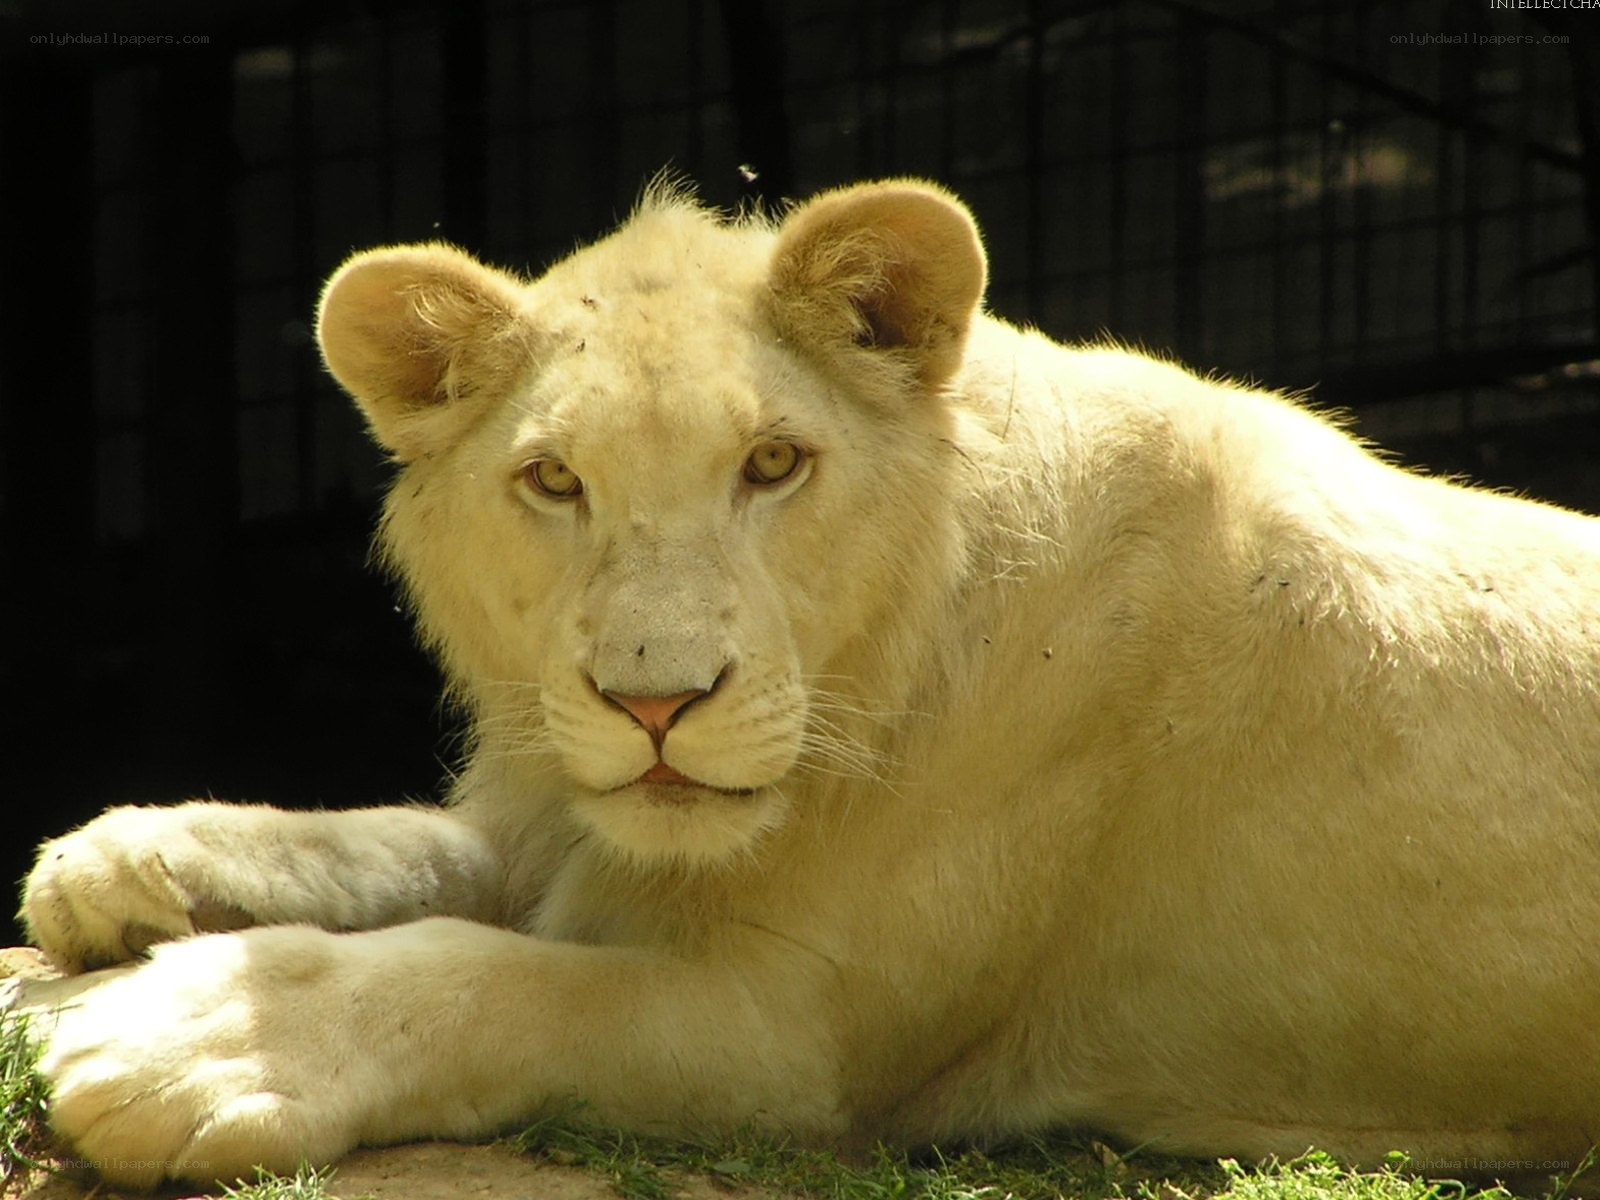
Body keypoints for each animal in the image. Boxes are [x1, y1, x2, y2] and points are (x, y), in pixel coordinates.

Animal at [15, 179, 1600, 1190]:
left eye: (774, 464)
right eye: (553, 480)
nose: (657, 704)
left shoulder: (805, 1048)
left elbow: (492, 978)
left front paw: (201, 1043)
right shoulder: (567, 813)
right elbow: (405, 846)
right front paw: (128, 859)